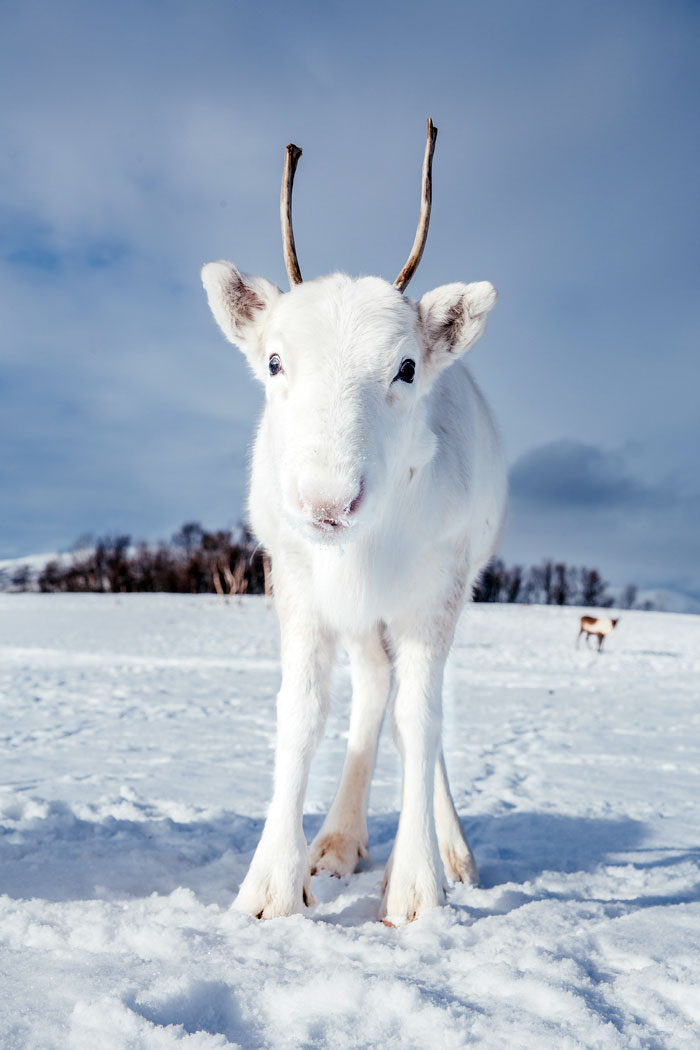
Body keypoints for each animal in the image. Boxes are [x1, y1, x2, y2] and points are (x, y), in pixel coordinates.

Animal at [201, 119, 507, 925]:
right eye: (275, 362)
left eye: (406, 367)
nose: (327, 503)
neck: (361, 552)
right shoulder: (296, 583)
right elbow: (303, 712)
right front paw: (271, 890)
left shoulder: (434, 591)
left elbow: (421, 720)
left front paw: (418, 888)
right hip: (363, 621)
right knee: (373, 689)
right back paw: (338, 840)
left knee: (414, 710)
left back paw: (447, 851)